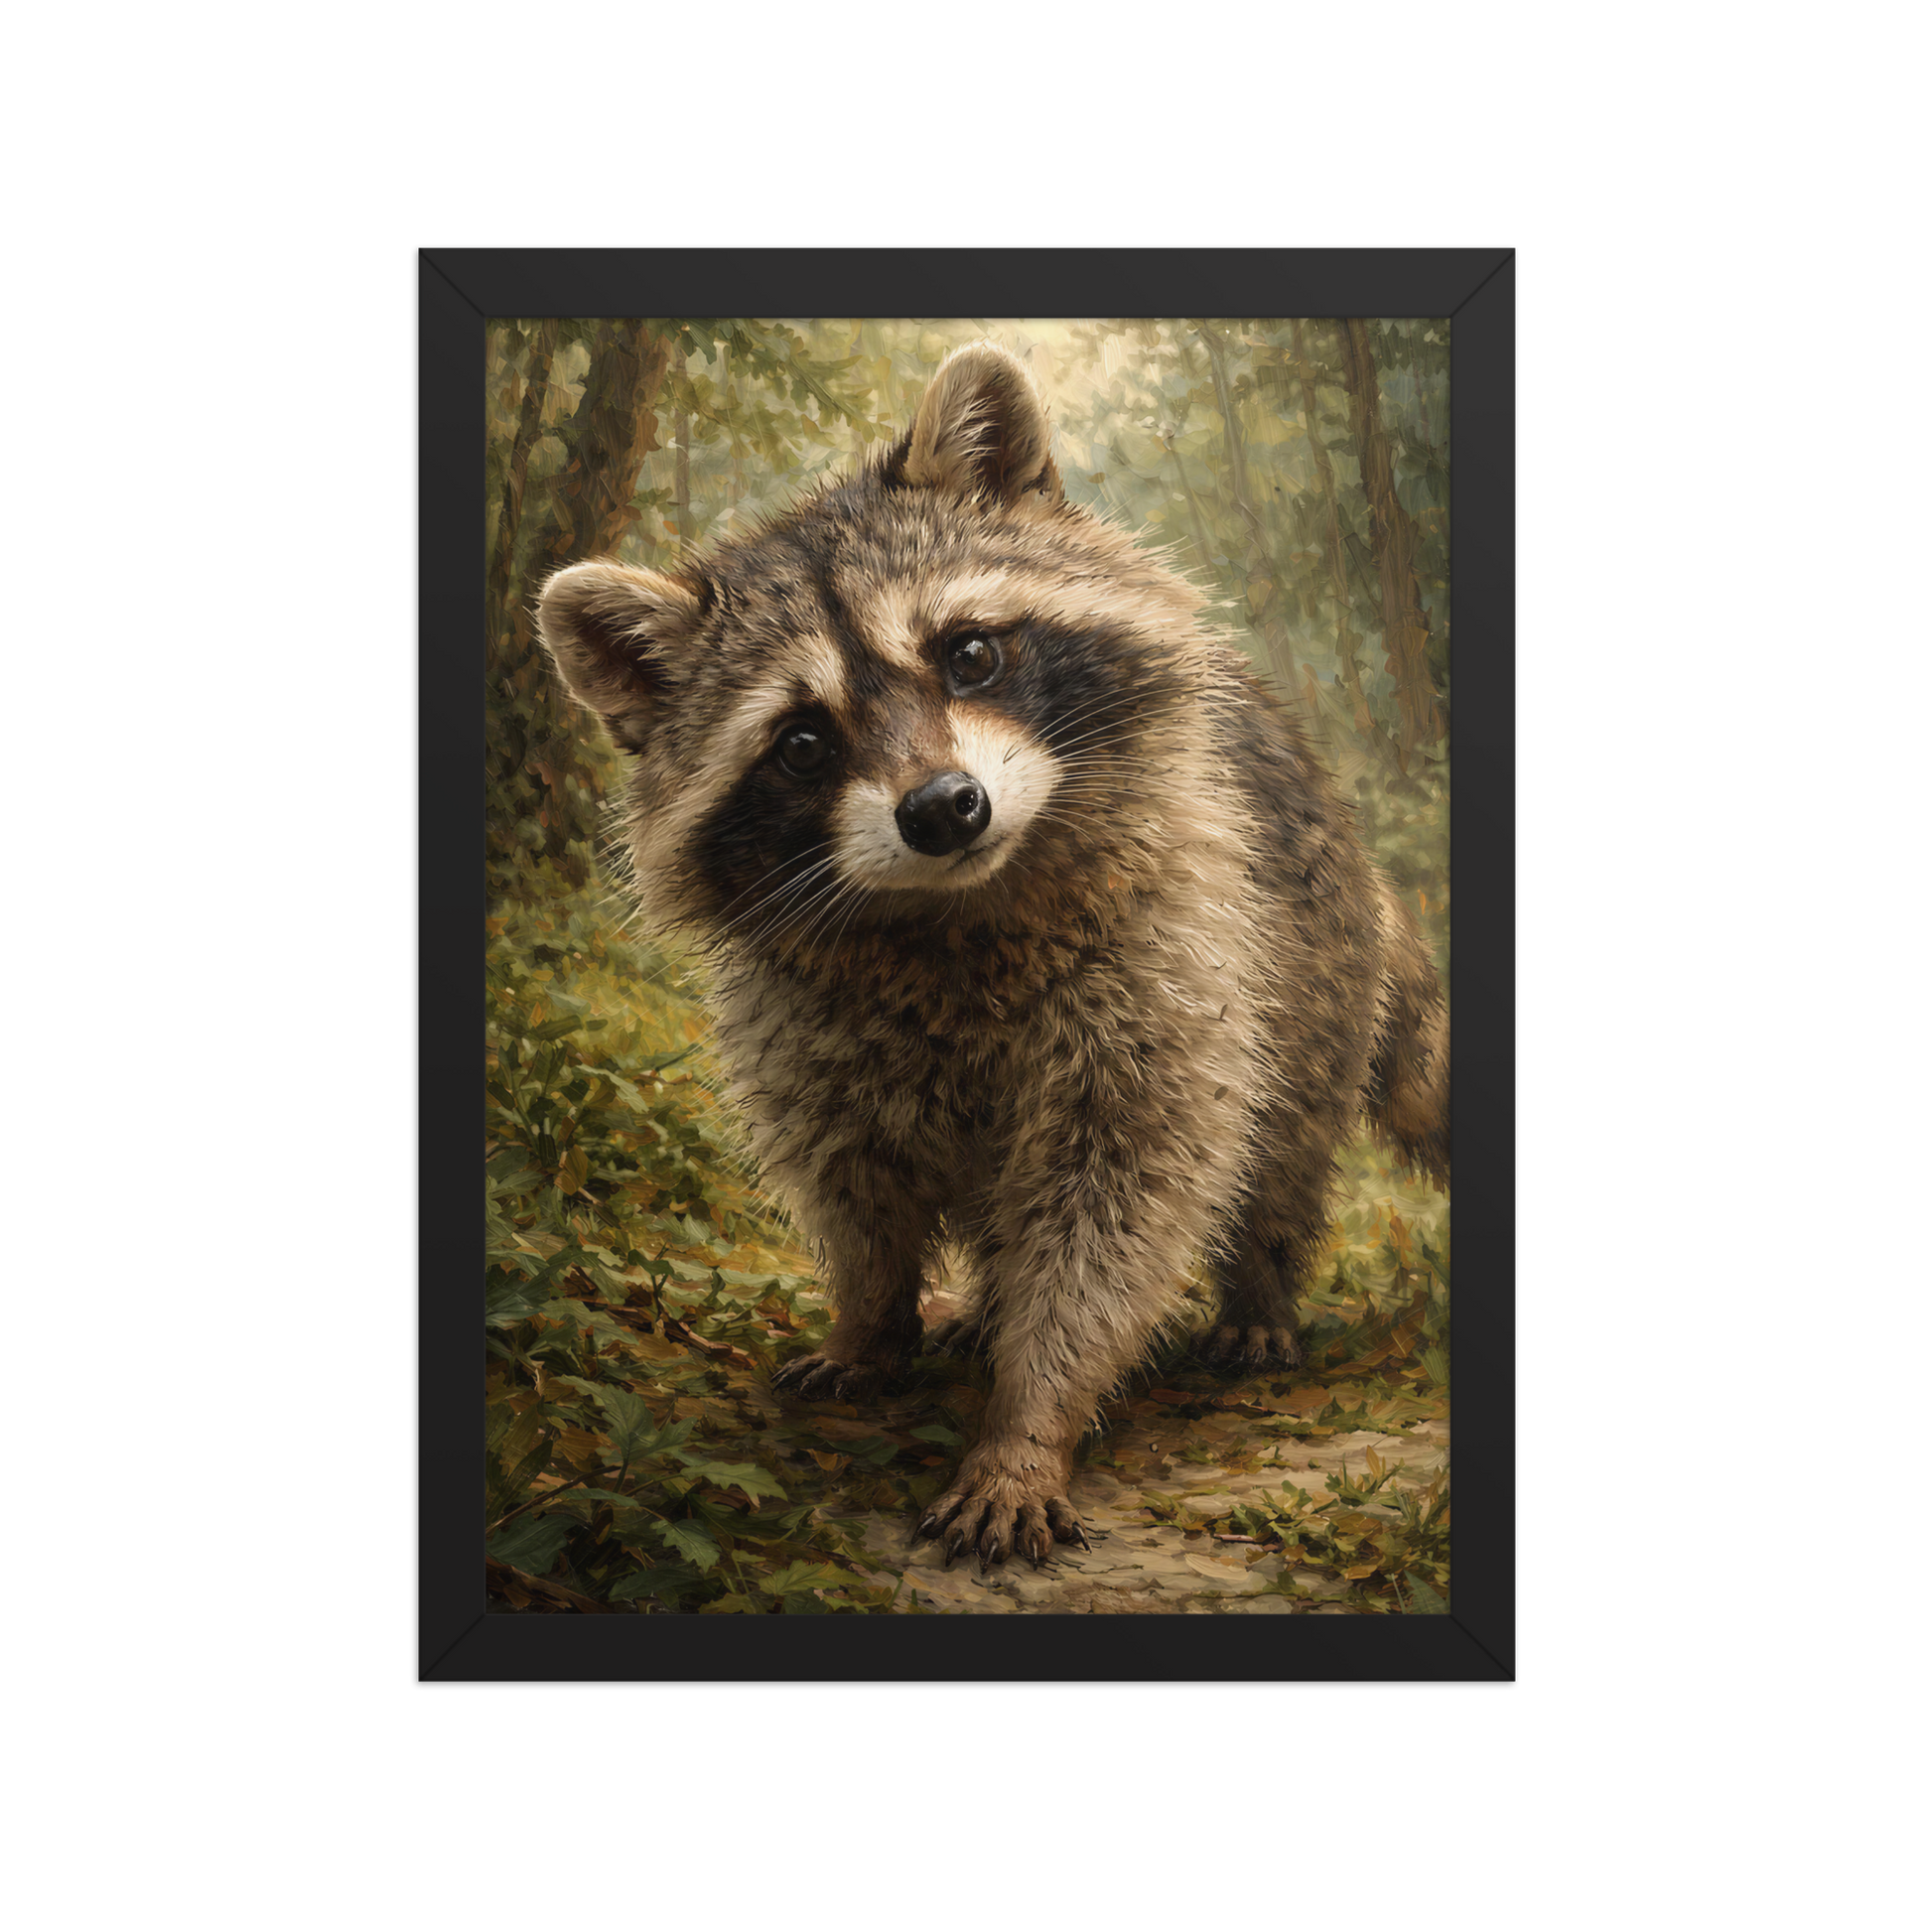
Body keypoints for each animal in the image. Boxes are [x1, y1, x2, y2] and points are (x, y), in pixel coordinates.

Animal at [536, 340, 1448, 1572]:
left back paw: (1256, 1287)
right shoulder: (801, 1024)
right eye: (801, 741)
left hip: (1309, 967)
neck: (953, 911)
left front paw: (1028, 1421)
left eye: (968, 652)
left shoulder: (1171, 960)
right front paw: (870, 1318)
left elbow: (1116, 1207)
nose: (942, 808)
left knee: (1281, 1148)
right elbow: (852, 1184)